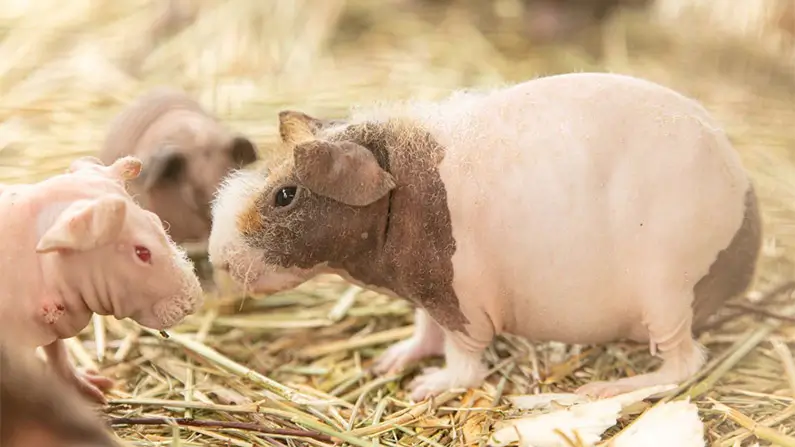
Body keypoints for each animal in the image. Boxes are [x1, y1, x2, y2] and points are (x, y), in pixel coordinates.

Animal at [0, 155, 204, 403]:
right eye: (142, 252)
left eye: (156, 221)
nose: (193, 301)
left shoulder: (52, 326)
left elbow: (58, 353)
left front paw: (89, 385)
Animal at [206, 72, 761, 401]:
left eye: (285, 195)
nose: (217, 258)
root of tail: (747, 212)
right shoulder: (425, 297)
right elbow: (422, 332)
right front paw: (388, 363)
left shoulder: (461, 306)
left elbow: (463, 363)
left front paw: (424, 387)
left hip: (666, 301)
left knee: (684, 364)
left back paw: (599, 393)